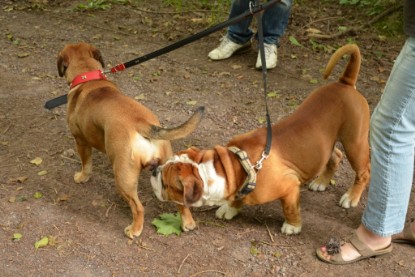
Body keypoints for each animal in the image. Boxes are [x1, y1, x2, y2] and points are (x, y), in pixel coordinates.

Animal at [56, 41, 206, 237]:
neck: (88, 77)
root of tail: (143, 124)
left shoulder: (81, 141)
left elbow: (86, 164)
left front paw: (82, 177)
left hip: (123, 176)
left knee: (138, 207)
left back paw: (134, 229)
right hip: (167, 170)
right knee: (181, 203)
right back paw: (187, 223)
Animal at [152, 44, 370, 234]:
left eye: (166, 184)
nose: (154, 170)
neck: (234, 166)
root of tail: (345, 83)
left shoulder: (289, 186)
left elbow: (290, 208)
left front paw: (292, 226)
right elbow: (237, 199)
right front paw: (230, 208)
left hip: (355, 143)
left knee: (363, 172)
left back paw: (351, 197)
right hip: (326, 143)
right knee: (335, 155)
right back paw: (322, 182)